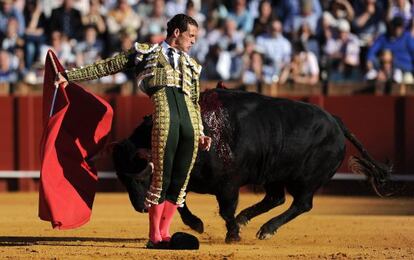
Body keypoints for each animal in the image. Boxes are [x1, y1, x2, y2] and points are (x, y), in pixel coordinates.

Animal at [112, 87, 392, 242]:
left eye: (141, 176)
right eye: (122, 179)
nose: (140, 207)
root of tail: (335, 121)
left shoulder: (228, 185)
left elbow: (225, 210)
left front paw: (233, 234)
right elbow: (180, 203)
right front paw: (198, 224)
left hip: (305, 180)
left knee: (301, 203)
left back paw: (266, 229)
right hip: (274, 175)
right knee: (276, 198)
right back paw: (247, 219)